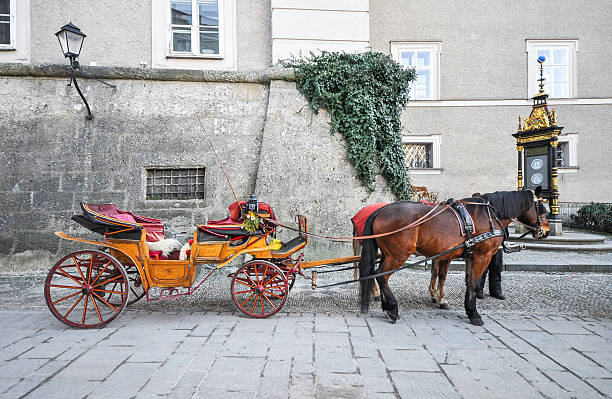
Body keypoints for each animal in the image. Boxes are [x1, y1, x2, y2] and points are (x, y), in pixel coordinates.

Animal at [358, 189, 548, 326]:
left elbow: (464, 281)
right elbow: (473, 283)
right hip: (398, 255)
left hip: (388, 254)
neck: (490, 216)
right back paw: (392, 308)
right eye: (542, 208)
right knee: (381, 275)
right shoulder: (482, 256)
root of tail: (380, 210)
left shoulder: (465, 256)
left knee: (379, 275)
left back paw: (386, 305)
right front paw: (474, 314)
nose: (545, 231)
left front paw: (460, 306)